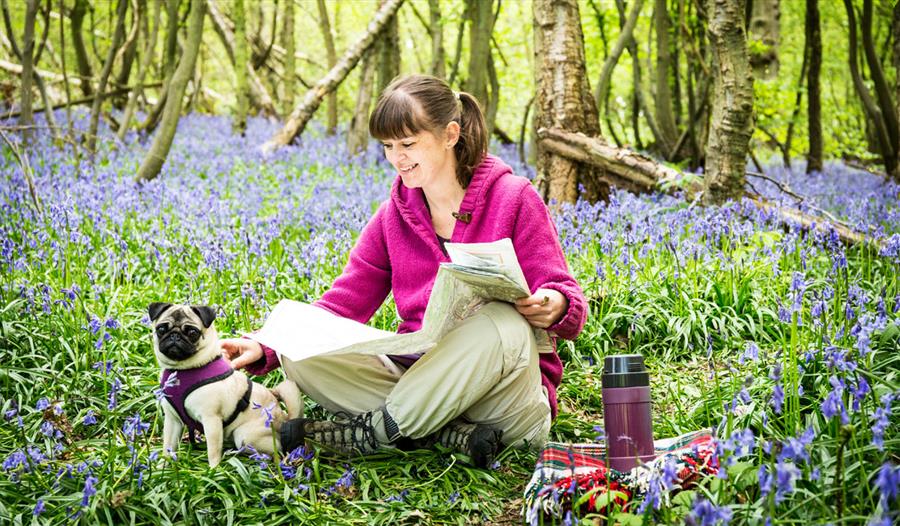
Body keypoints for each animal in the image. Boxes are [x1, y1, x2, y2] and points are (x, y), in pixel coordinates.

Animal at [149, 304, 302, 468]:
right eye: (161, 329)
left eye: (192, 332)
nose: (174, 336)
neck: (183, 370)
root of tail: (284, 419)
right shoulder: (172, 420)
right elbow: (168, 447)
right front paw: (162, 466)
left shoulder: (211, 420)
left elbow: (213, 451)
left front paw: (213, 470)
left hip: (245, 435)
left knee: (277, 451)